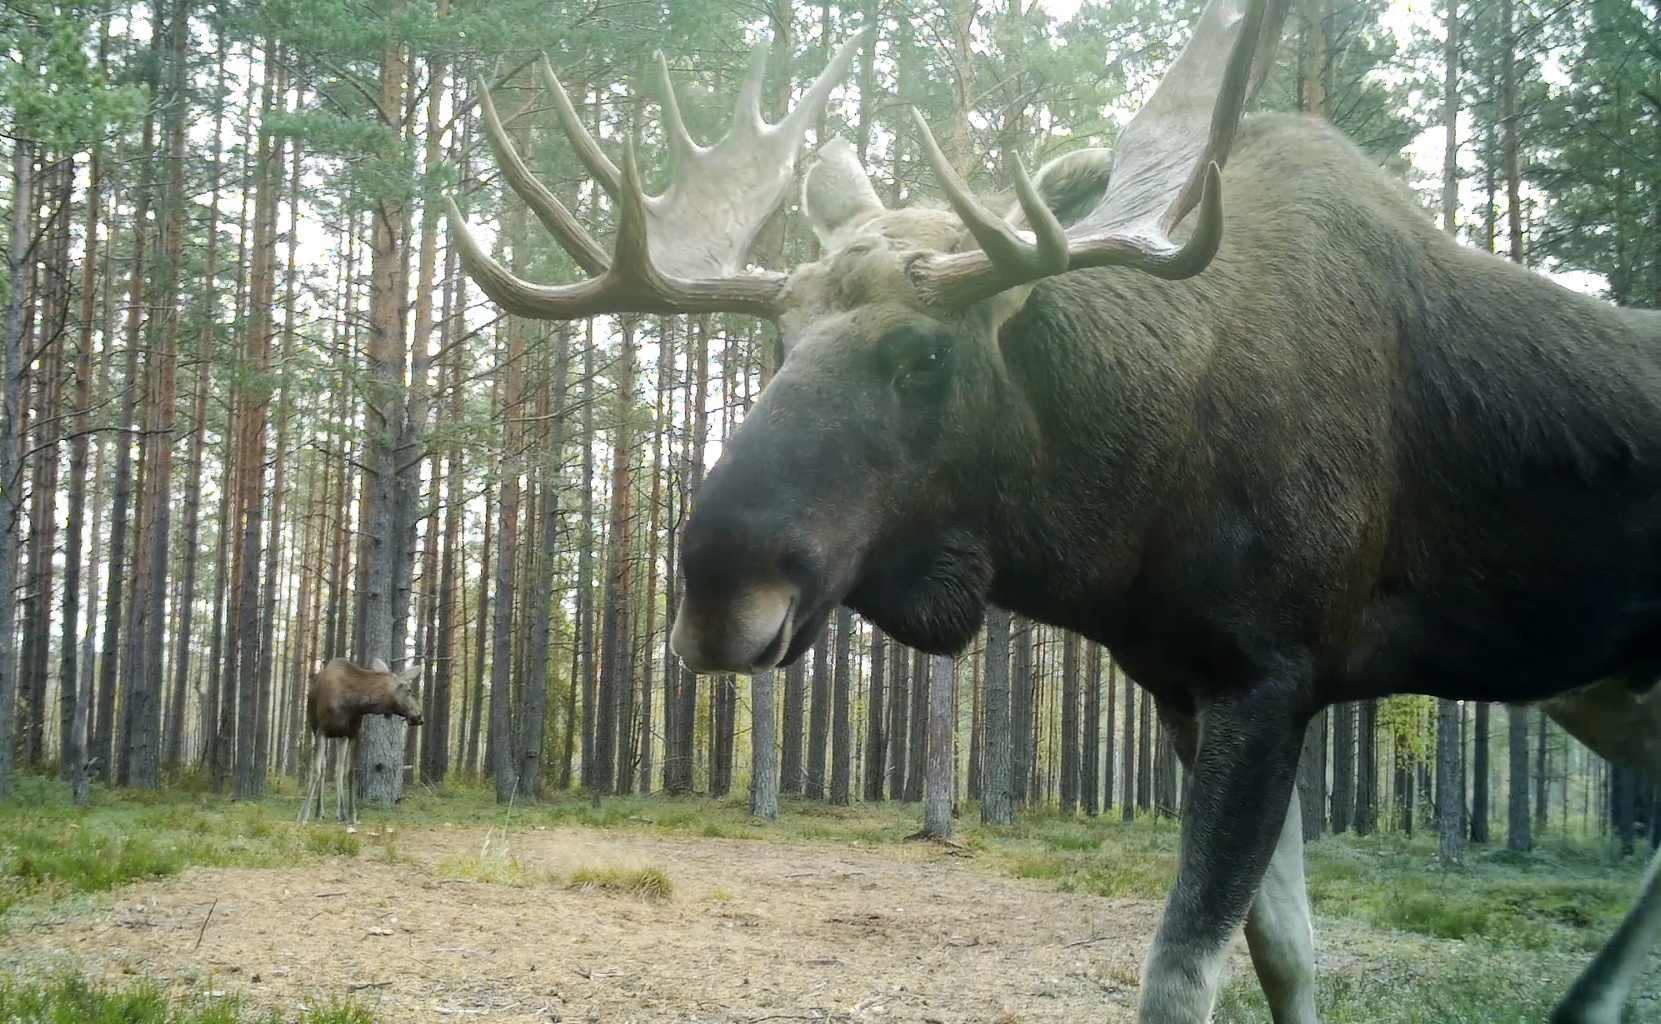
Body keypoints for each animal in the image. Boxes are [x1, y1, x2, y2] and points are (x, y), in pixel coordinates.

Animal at [302, 661, 425, 827]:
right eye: (409, 690)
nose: (419, 716)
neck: (352, 703)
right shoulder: (321, 731)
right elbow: (315, 771)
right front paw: (302, 815)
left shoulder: (354, 733)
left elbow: (350, 772)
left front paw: (351, 815)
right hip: (320, 731)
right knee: (323, 767)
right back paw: (319, 811)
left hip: (341, 737)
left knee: (338, 769)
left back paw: (341, 812)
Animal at [451, 4, 1661, 1017]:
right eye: (779, 343)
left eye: (924, 355)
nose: (716, 591)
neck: (1118, 526)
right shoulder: (1187, 685)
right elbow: (1286, 953)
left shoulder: (1271, 671)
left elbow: (1182, 971)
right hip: (1603, 693)